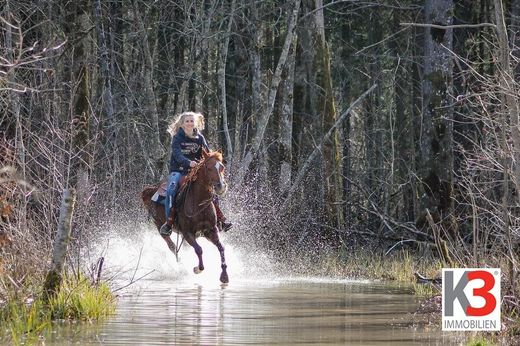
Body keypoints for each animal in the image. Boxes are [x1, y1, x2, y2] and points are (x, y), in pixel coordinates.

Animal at [142, 151, 232, 284]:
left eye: (222, 167)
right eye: (208, 168)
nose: (220, 186)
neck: (199, 202)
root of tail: (152, 190)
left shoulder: (211, 230)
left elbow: (221, 247)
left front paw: (224, 276)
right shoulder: (188, 233)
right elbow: (199, 249)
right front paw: (197, 269)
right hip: (159, 226)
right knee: (172, 246)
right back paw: (181, 267)